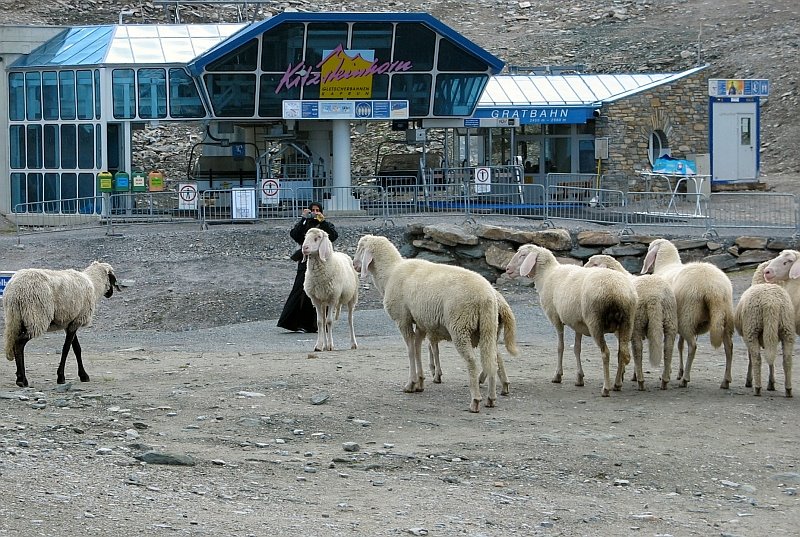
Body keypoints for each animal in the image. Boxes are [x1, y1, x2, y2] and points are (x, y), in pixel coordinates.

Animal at [352, 232, 504, 412]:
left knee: (472, 362)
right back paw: (491, 398)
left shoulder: (403, 319)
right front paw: (420, 382)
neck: (389, 273)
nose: (354, 264)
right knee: (491, 360)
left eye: (360, 247)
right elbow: (417, 348)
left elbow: (410, 350)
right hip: (488, 327)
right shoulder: (421, 323)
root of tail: (485, 296)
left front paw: (411, 384)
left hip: (460, 325)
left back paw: (475, 400)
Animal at [506, 245, 636, 396]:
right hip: (627, 323)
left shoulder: (556, 318)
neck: (546, 275)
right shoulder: (578, 323)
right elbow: (576, 348)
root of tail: (618, 293)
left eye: (523, 255)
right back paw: (617, 384)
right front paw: (579, 378)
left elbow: (560, 347)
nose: (507, 269)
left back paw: (606, 388)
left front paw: (558, 375)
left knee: (606, 353)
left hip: (595, 322)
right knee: (622, 353)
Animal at [580, 253, 676, 388]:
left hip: (637, 322)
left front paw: (622, 376)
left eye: (594, 264)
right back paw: (665, 379)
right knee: (668, 347)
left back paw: (640, 381)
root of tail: (654, 296)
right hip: (670, 317)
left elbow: (622, 353)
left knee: (638, 349)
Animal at [640, 237, 736, 388]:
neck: (666, 265)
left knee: (693, 346)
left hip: (688, 316)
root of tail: (713, 288)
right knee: (729, 347)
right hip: (725, 317)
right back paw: (725, 381)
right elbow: (680, 345)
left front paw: (674, 372)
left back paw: (685, 379)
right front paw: (678, 371)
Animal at [736, 262, 792, 396]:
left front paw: (749, 381)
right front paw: (771, 384)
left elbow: (751, 357)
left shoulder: (747, 335)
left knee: (756, 358)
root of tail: (771, 303)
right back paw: (788, 390)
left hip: (752, 328)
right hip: (786, 328)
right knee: (786, 359)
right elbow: (771, 358)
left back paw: (757, 387)